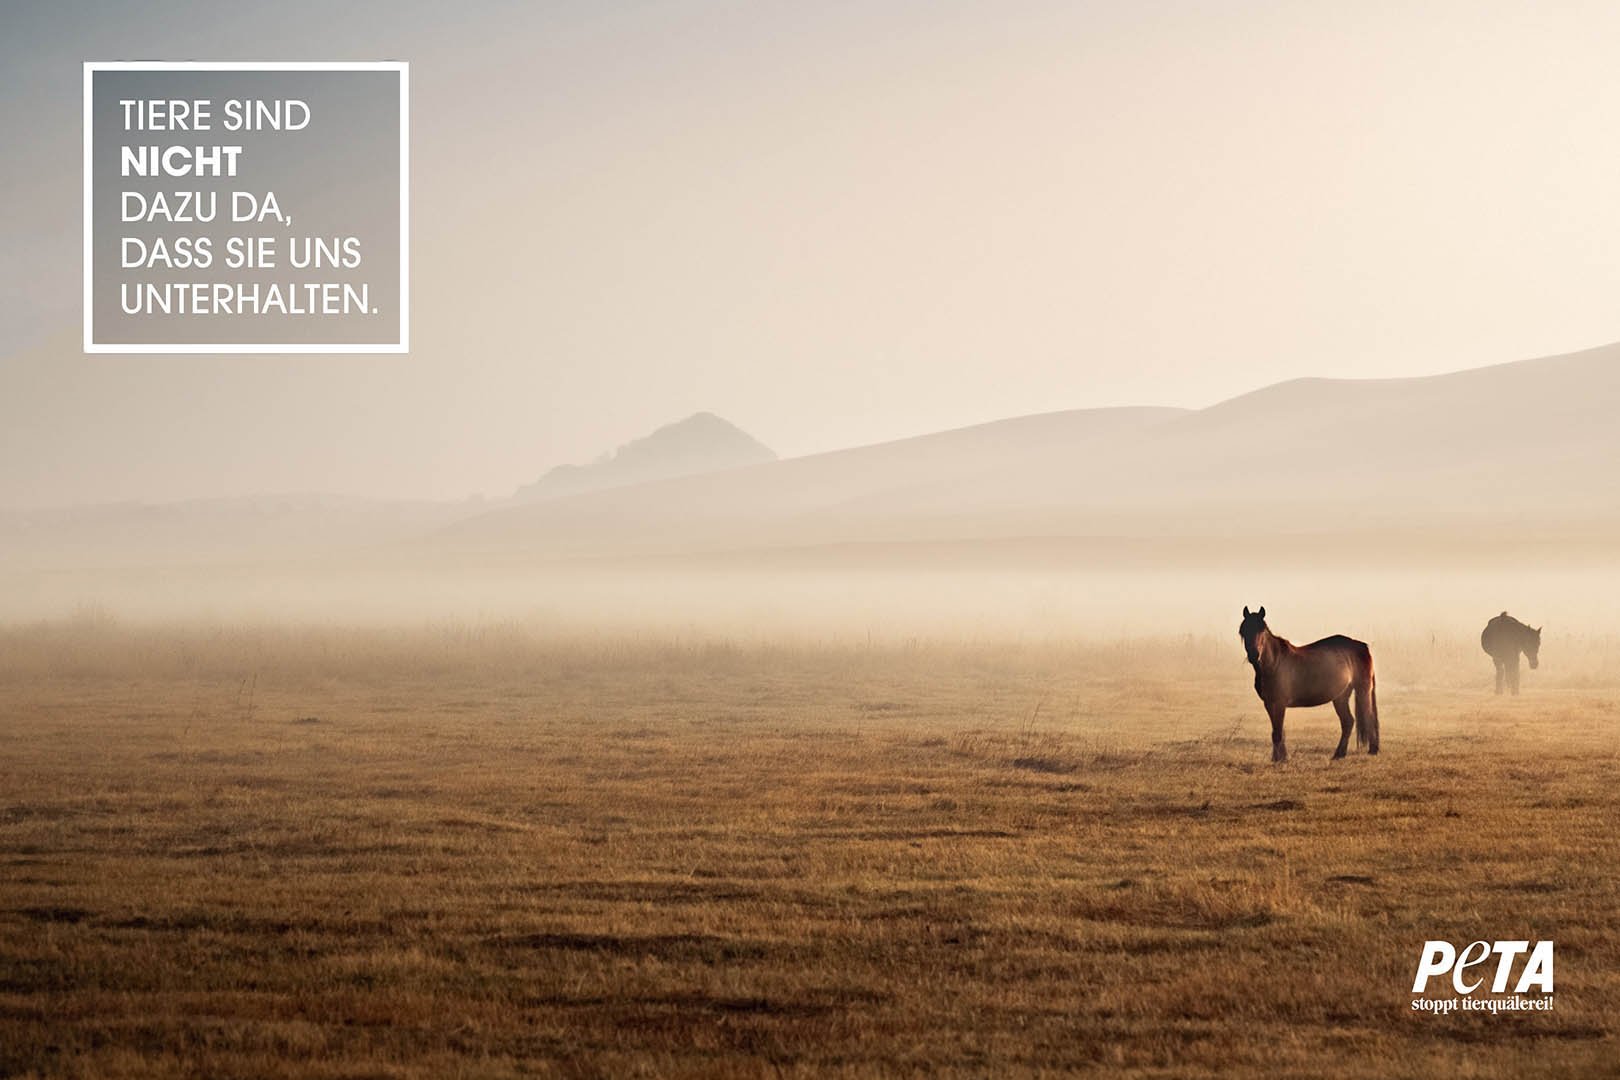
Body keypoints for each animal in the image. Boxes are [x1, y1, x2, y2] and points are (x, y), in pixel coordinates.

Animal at [1237, 605, 1380, 764]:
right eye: (1243, 631)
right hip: (1341, 696)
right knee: (1348, 722)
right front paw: (1279, 758)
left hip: (1363, 690)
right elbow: (1277, 731)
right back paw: (1339, 754)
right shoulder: (1269, 703)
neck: (1274, 664)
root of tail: (1363, 646)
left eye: (1262, 631)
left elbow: (1278, 732)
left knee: (1368, 716)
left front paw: (1281, 759)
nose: (1254, 655)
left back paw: (1372, 750)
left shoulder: (1280, 703)